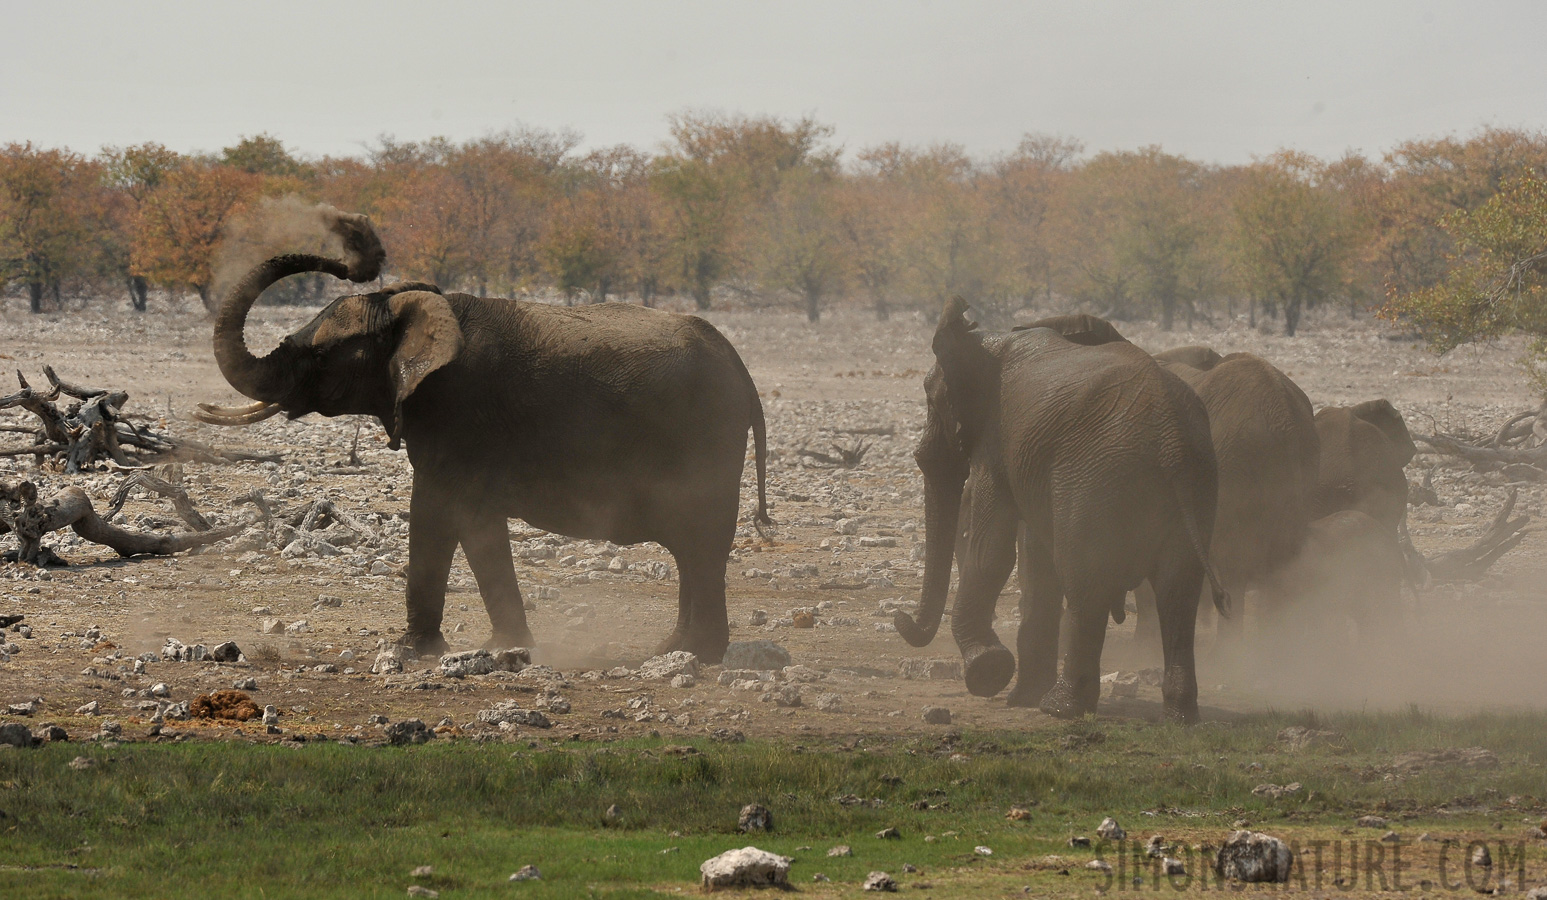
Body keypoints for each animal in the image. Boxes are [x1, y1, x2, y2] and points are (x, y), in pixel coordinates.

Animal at [198, 210, 767, 661]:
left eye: (318, 355)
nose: (353, 254)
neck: (410, 309)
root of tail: (742, 369)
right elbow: (476, 527)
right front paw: (505, 649)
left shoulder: (456, 417)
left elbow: (437, 513)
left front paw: (411, 653)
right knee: (695, 550)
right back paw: (674, 651)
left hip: (706, 436)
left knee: (701, 543)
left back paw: (695, 655)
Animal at [891, 304, 1225, 726]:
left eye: (931, 402)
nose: (900, 617)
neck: (989, 339)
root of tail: (1172, 440)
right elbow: (1035, 560)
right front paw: (1019, 695)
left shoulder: (999, 443)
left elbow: (994, 552)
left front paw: (988, 669)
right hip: (1196, 484)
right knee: (1177, 591)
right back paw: (1180, 716)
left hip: (1098, 478)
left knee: (1085, 581)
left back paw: (1061, 708)